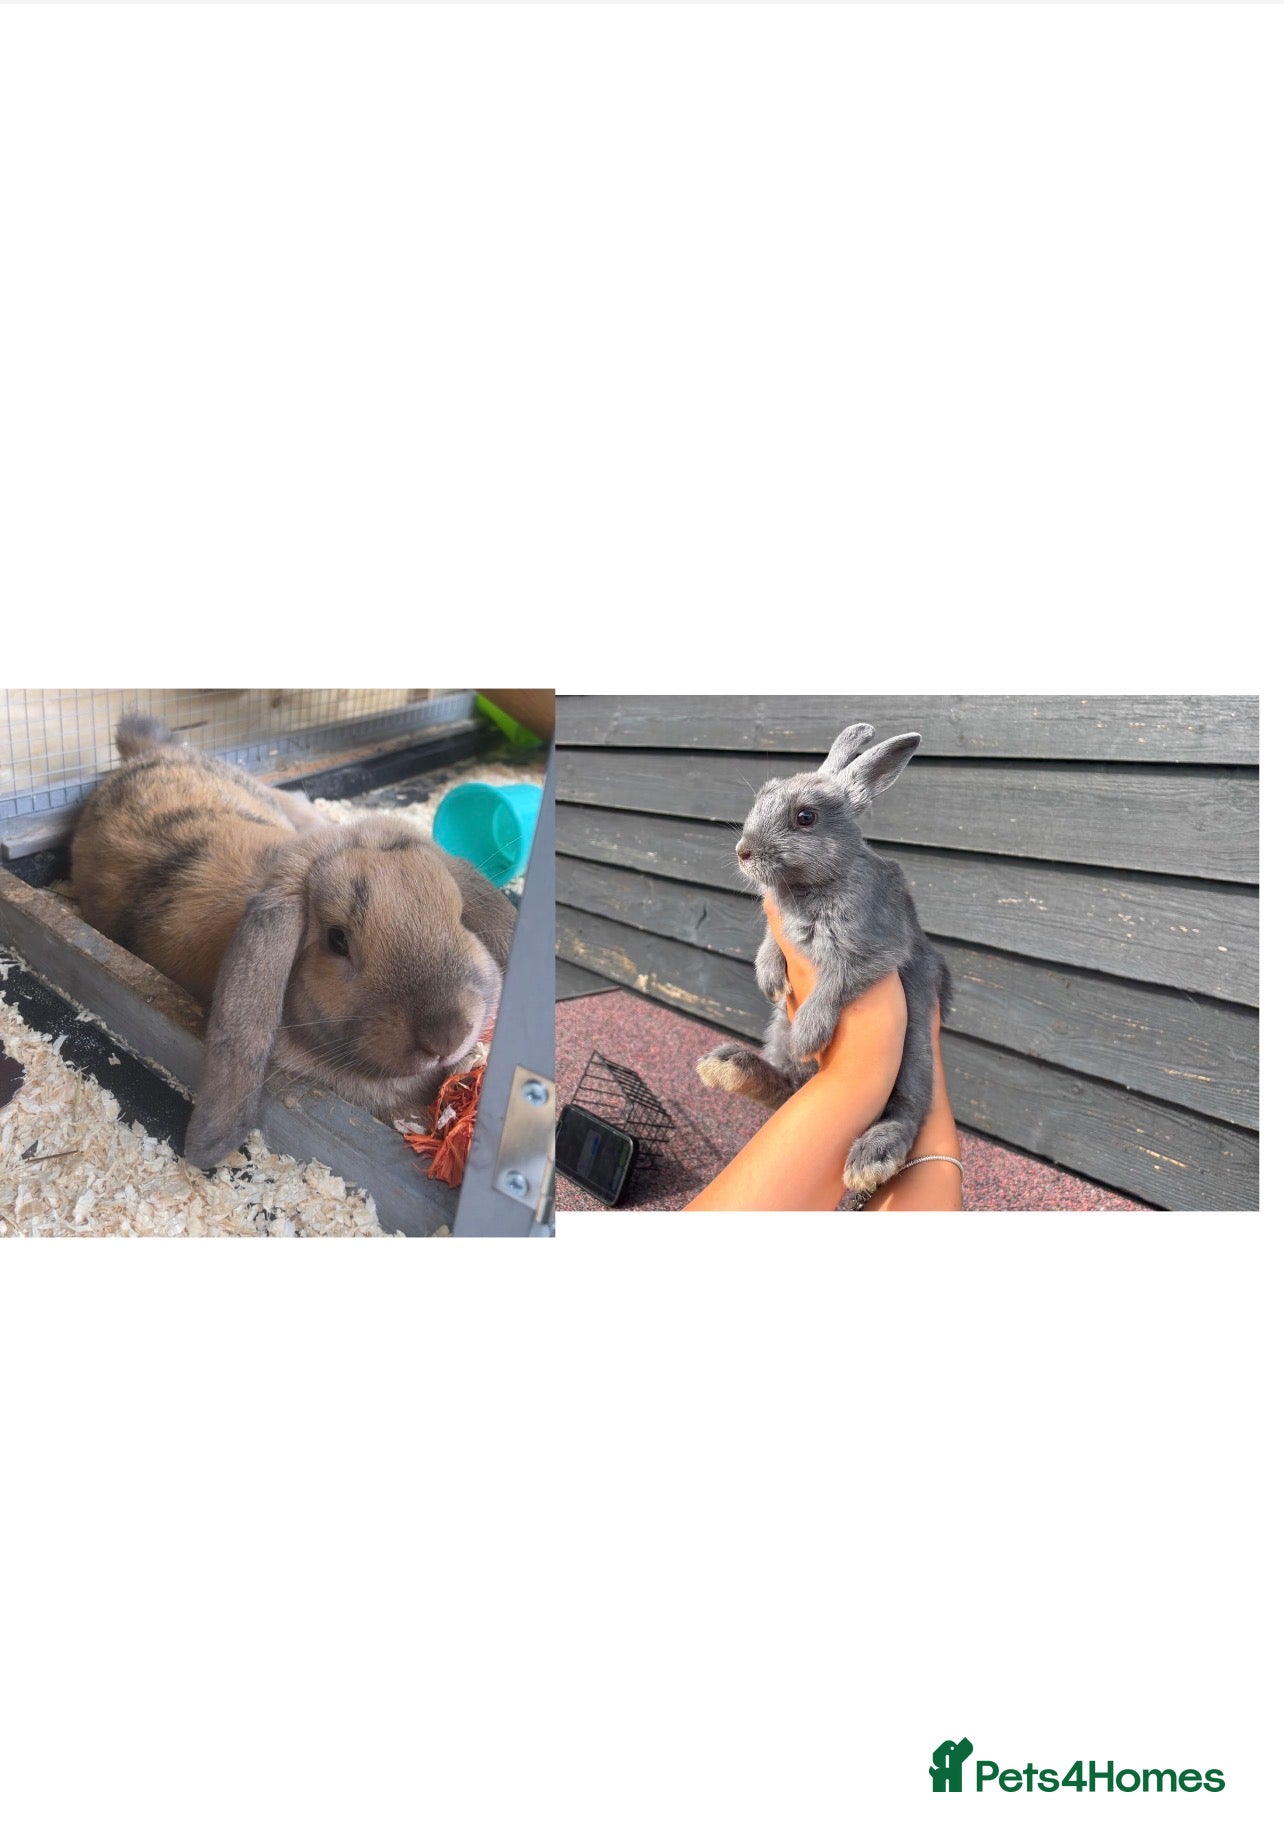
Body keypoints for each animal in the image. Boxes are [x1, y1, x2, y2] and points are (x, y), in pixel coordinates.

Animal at [696, 722, 952, 1197]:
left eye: (805, 818)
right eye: (762, 795)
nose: (743, 851)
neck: (815, 883)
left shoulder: (875, 948)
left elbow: (834, 984)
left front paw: (810, 1035)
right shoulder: (781, 933)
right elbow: (770, 944)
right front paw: (768, 977)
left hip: (914, 1055)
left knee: (908, 1111)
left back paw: (871, 1157)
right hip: (776, 1028)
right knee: (787, 1089)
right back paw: (729, 1066)